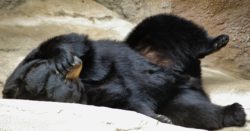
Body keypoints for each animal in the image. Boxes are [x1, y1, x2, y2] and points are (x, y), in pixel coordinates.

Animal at [2, 14, 246, 129]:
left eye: (58, 72)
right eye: (65, 82)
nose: (73, 64)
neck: (84, 83)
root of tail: (190, 77)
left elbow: (71, 40)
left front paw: (62, 56)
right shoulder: (94, 98)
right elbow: (126, 101)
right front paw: (159, 117)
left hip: (148, 44)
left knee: (167, 25)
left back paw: (217, 41)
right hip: (177, 94)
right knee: (191, 109)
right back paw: (234, 112)